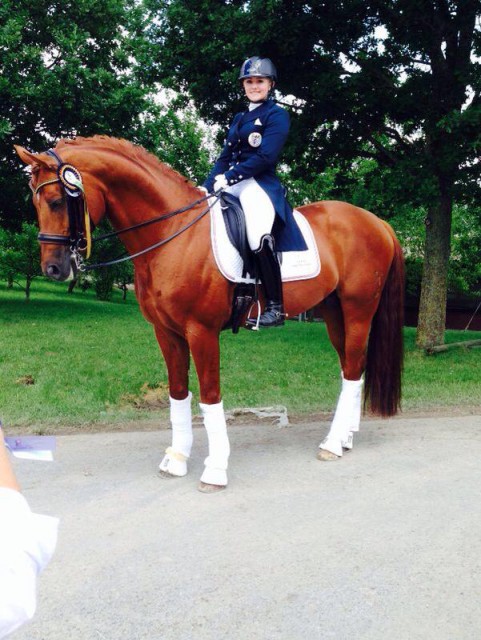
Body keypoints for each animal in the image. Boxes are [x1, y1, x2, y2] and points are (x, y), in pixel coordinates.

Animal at [15, 135, 404, 492]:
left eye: (56, 201)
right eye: (33, 202)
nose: (53, 269)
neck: (173, 234)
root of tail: (378, 223)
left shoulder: (201, 331)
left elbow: (210, 396)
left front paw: (215, 469)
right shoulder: (166, 332)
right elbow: (178, 393)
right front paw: (176, 459)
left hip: (358, 310)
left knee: (352, 369)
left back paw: (333, 444)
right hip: (334, 312)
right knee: (351, 368)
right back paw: (345, 437)